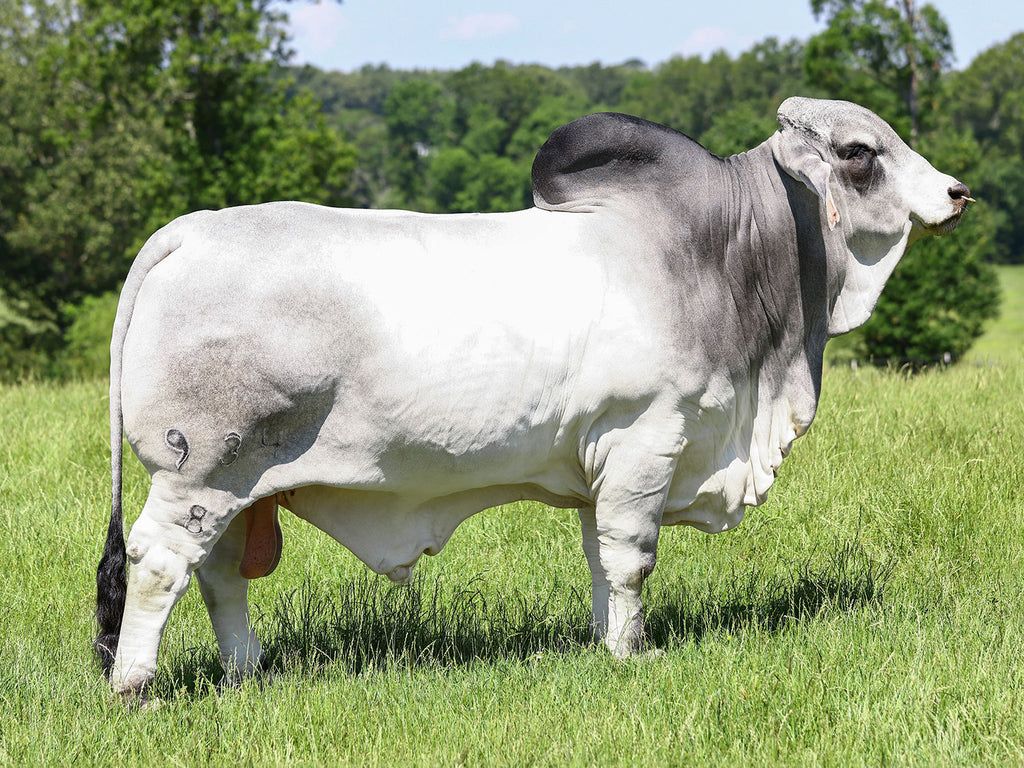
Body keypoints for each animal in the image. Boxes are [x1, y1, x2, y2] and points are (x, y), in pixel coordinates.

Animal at [96, 97, 972, 696]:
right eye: (859, 151)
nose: (958, 193)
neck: (723, 256)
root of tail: (186, 231)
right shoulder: (648, 437)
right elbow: (632, 561)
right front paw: (632, 653)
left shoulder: (603, 463)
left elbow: (599, 561)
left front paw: (604, 642)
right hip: (198, 471)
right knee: (159, 564)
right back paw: (136, 687)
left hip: (239, 486)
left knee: (220, 576)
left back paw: (246, 672)